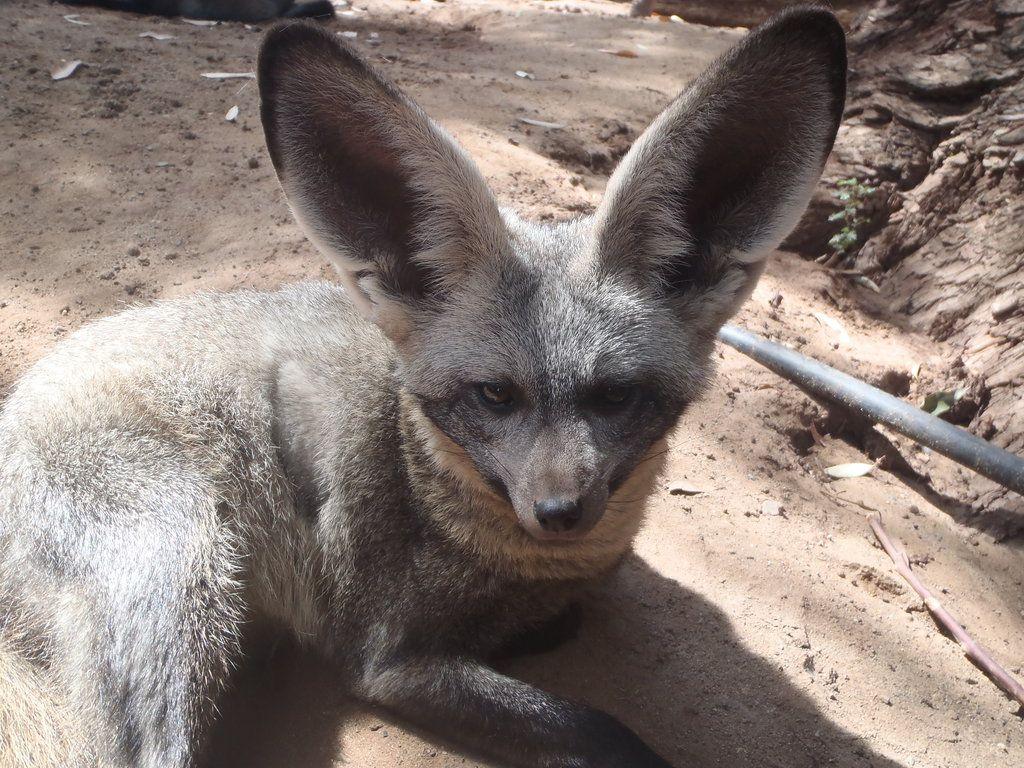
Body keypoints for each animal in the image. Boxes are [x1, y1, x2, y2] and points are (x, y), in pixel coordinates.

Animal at [0, 7, 843, 768]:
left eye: (615, 395)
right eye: (494, 396)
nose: (560, 513)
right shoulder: (385, 659)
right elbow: (600, 730)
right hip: (185, 579)